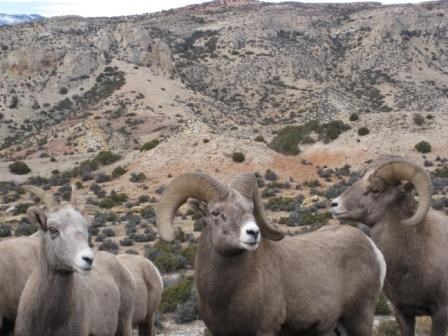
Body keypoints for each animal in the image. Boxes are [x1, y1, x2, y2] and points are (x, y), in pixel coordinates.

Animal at [157, 172, 384, 334]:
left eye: (250, 209)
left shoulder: (264, 330)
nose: (253, 233)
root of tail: (373, 248)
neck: (225, 294)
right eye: (216, 213)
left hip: (358, 318)